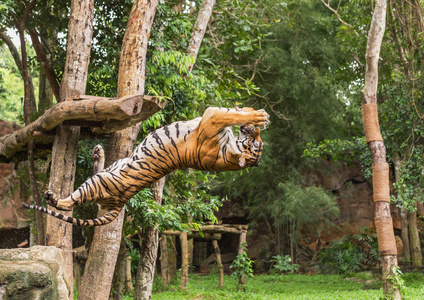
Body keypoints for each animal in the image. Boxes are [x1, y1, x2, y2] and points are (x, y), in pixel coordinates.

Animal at [22, 106, 268, 226]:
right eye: (258, 142)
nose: (254, 132)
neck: (228, 153)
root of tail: (121, 203)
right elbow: (233, 113)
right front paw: (256, 114)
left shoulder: (211, 118)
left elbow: (227, 115)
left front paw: (256, 117)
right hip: (114, 167)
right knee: (99, 168)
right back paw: (98, 153)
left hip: (98, 182)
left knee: (69, 203)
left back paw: (54, 198)